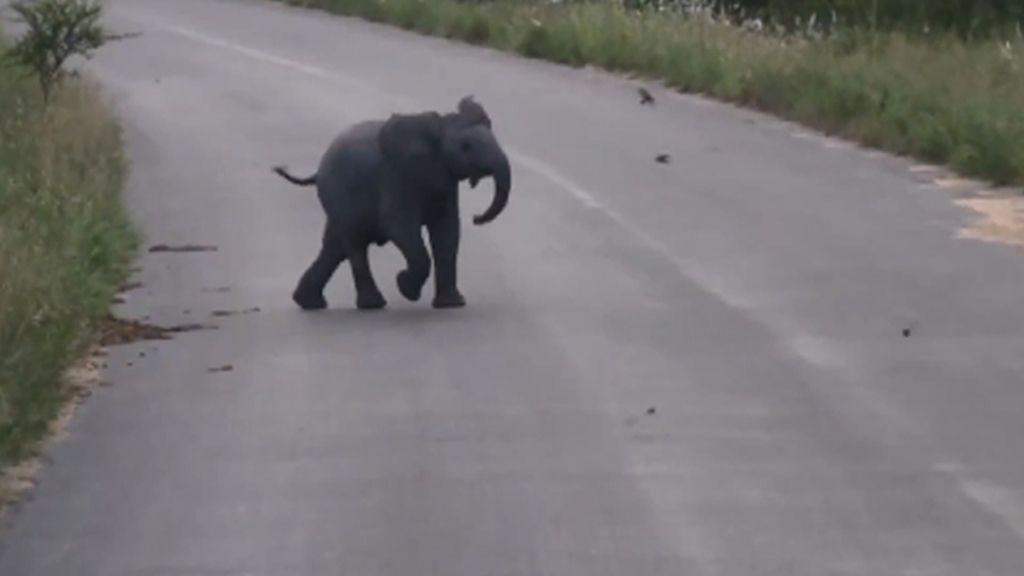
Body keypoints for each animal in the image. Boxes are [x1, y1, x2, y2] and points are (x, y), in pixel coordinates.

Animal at [272, 95, 512, 309]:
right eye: (466, 147)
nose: (477, 218)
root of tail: (318, 169)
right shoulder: (396, 176)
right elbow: (399, 227)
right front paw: (405, 286)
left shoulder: (444, 178)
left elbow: (447, 231)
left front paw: (452, 304)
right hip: (338, 193)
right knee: (354, 244)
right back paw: (371, 304)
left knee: (334, 247)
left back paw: (308, 302)